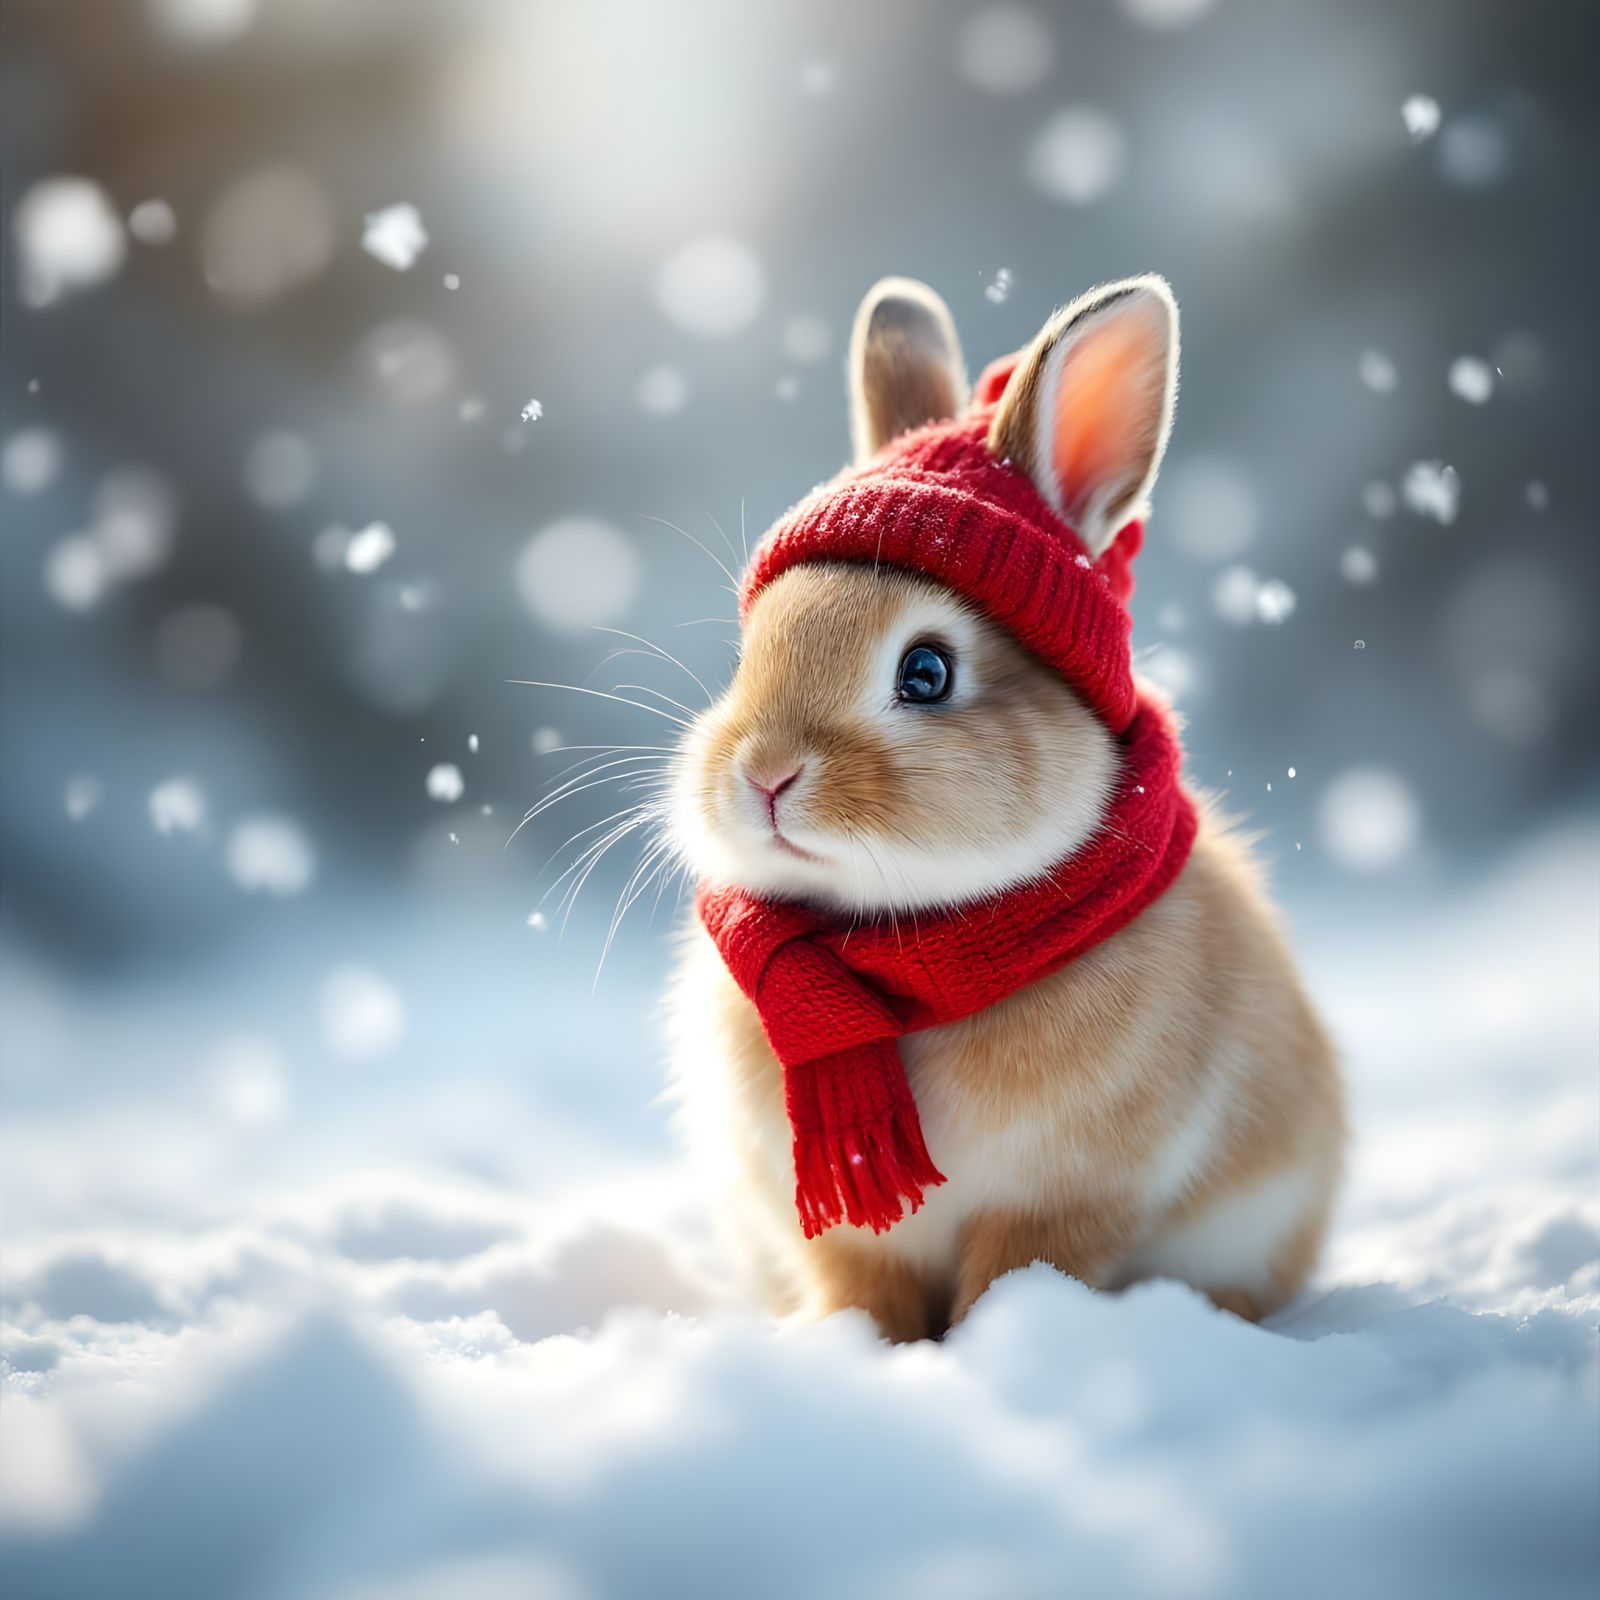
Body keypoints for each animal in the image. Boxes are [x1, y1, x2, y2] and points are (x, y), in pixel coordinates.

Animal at [663, 274, 1346, 1342]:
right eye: (750, 651)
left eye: (927, 672)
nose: (765, 773)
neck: (913, 944)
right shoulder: (860, 1237)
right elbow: (867, 1291)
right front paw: (855, 1349)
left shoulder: (1063, 1204)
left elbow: (1017, 1275)